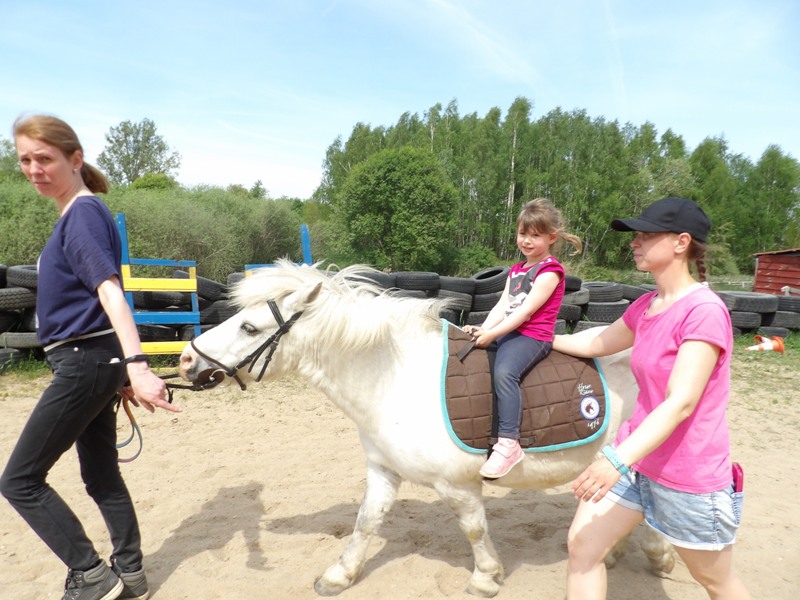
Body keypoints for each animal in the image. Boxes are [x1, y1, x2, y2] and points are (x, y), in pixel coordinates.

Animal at [178, 260, 674, 597]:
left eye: (247, 326)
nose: (185, 360)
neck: (395, 378)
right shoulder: (382, 471)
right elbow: (365, 522)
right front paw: (339, 575)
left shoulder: (457, 485)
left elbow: (473, 530)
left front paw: (486, 578)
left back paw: (657, 555)